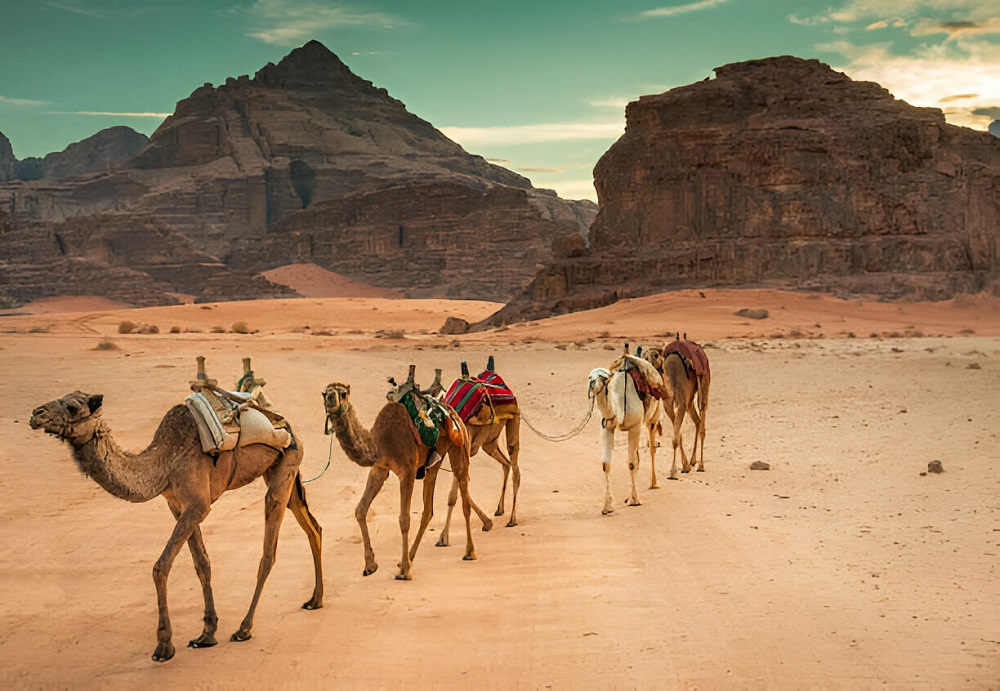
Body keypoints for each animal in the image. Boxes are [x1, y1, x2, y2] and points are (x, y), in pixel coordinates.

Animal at [28, 386, 324, 664]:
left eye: (72, 406)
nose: (36, 414)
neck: (164, 462)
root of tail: (286, 425)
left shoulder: (197, 505)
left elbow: (161, 567)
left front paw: (163, 646)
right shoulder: (177, 505)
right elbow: (202, 563)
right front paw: (207, 634)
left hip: (284, 470)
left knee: (268, 553)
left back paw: (244, 628)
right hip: (285, 474)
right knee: (314, 528)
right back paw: (315, 600)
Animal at [322, 364, 490, 580]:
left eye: (343, 394)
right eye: (324, 392)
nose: (330, 399)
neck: (380, 443)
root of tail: (451, 410)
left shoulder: (408, 471)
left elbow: (404, 519)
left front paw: (405, 573)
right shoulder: (380, 468)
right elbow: (360, 510)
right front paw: (371, 565)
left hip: (459, 446)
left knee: (463, 493)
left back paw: (469, 552)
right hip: (434, 462)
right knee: (428, 510)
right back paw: (407, 558)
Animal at [444, 360, 524, 528]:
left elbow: (459, 488)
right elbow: (458, 488)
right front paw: (486, 522)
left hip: (514, 416)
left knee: (515, 463)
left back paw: (512, 519)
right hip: (489, 441)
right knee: (506, 464)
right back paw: (499, 509)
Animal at [584, 352, 664, 512]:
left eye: (603, 378)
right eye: (590, 377)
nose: (592, 383)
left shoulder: (634, 426)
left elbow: (631, 463)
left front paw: (635, 500)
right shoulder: (607, 427)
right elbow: (606, 464)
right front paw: (607, 506)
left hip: (653, 417)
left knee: (652, 448)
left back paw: (653, 483)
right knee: (639, 455)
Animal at [640, 338, 712, 478]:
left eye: (656, 355)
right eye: (644, 356)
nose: (648, 365)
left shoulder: (681, 404)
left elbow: (675, 437)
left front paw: (673, 471)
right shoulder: (668, 405)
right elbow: (678, 435)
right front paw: (685, 466)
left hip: (703, 383)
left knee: (702, 420)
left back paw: (701, 465)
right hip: (689, 401)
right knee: (697, 421)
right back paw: (693, 461)